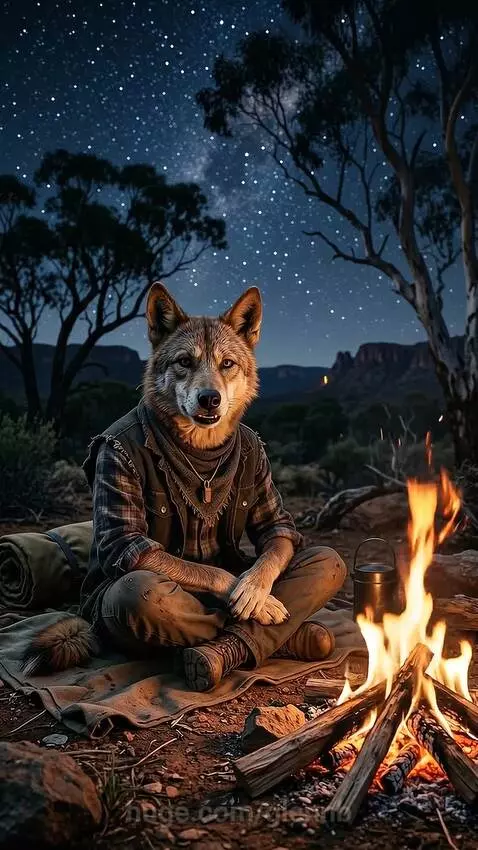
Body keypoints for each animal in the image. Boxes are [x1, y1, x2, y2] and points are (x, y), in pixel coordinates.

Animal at [23, 283, 345, 691]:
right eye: (184, 362)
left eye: (227, 364)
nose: (210, 399)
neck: (201, 451)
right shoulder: (127, 535)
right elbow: (214, 573)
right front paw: (252, 596)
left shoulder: (270, 502)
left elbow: (274, 541)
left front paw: (255, 591)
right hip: (125, 599)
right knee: (168, 607)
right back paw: (208, 655)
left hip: (325, 559)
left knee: (325, 559)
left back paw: (299, 637)